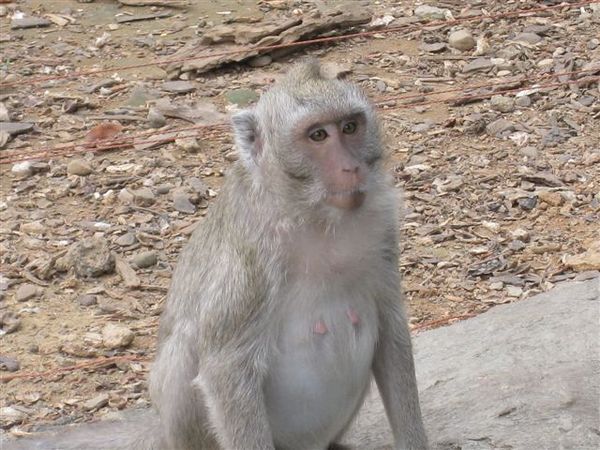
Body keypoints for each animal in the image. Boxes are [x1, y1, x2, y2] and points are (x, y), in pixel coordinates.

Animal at [3, 59, 426, 450]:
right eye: (318, 135)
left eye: (350, 127)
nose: (351, 167)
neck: (313, 215)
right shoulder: (249, 262)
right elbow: (226, 369)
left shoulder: (382, 227)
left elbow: (390, 330)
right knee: (185, 350)